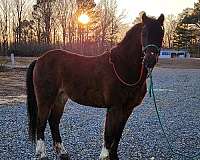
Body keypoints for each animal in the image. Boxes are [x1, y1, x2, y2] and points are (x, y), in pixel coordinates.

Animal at [26, 11, 164, 159]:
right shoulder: (114, 107)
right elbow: (109, 134)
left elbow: (118, 135)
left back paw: (62, 152)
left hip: (60, 98)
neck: (122, 67)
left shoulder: (128, 109)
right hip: (45, 99)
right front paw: (104, 156)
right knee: (41, 123)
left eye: (161, 33)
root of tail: (39, 59)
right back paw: (41, 154)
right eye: (144, 33)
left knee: (53, 121)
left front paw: (114, 156)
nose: (149, 60)